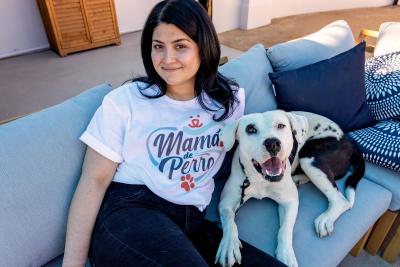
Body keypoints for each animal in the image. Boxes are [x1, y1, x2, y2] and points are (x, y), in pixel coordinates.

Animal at [216, 110, 366, 267]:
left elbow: (285, 229)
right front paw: (229, 245)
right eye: (250, 129)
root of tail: (348, 140)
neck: (260, 179)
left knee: (341, 201)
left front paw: (285, 255)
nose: (272, 143)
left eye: (281, 125)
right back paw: (299, 179)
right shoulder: (226, 202)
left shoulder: (290, 202)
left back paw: (325, 219)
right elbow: (229, 220)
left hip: (309, 157)